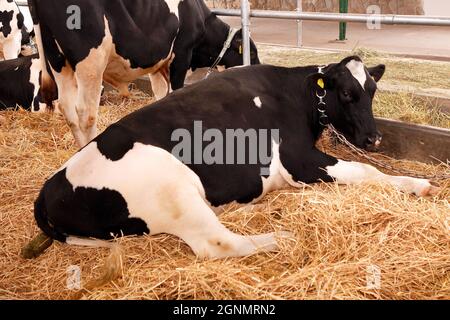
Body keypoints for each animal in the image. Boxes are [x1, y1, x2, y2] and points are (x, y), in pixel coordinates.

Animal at [29, 0, 260, 148]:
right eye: (252, 52)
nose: (256, 67)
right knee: (86, 112)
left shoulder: (159, 66)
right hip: (90, 62)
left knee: (67, 108)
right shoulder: (181, 54)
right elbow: (176, 94)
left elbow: (160, 97)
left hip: (59, 62)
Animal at [32, 57, 440, 260]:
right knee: (216, 244)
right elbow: (364, 170)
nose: (374, 137)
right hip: (174, 190)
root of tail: (49, 187)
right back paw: (283, 238)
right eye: (346, 93)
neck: (296, 94)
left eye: (372, 91)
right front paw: (417, 183)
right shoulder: (298, 159)